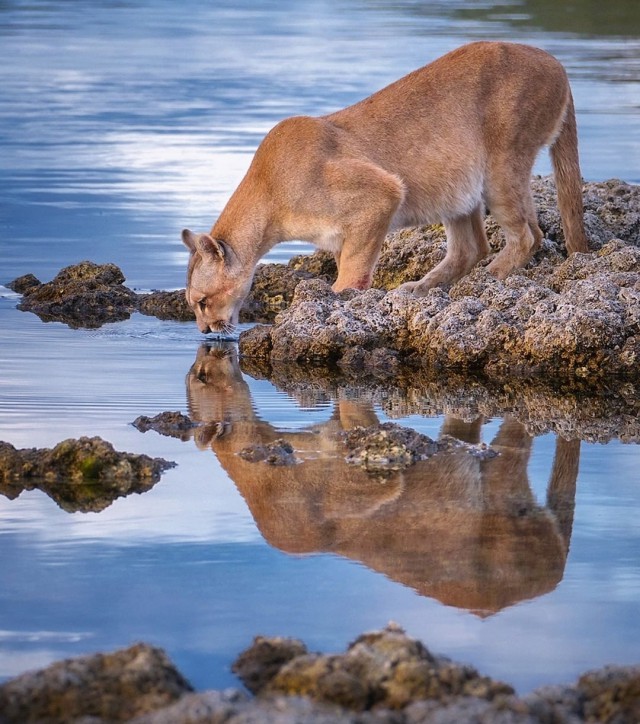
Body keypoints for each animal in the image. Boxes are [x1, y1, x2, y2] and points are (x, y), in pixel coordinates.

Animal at [182, 40, 588, 334]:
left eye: (202, 301)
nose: (204, 331)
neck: (268, 199)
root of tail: (556, 63)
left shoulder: (380, 194)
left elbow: (353, 270)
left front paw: (336, 302)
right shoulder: (343, 233)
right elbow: (350, 259)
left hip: (501, 167)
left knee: (526, 236)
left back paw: (484, 282)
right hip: (458, 188)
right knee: (477, 245)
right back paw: (420, 289)